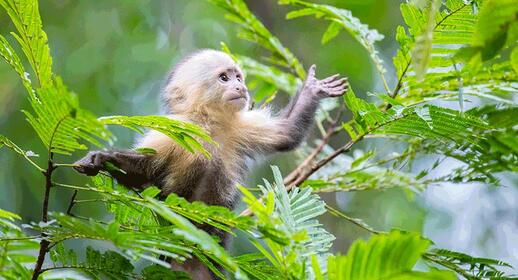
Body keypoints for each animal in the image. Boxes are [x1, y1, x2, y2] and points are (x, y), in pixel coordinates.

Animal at [74, 49, 350, 278]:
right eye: (224, 78)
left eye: (238, 76)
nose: (240, 86)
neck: (210, 125)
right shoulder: (175, 132)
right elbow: (145, 170)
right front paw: (102, 159)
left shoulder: (239, 127)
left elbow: (286, 134)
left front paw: (312, 89)